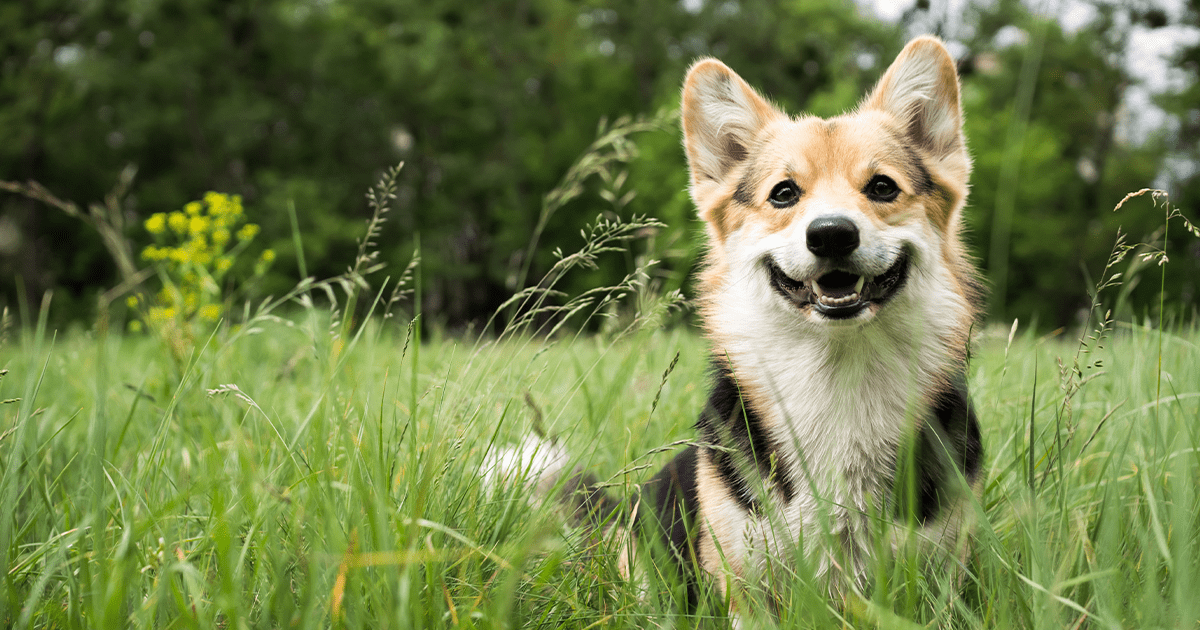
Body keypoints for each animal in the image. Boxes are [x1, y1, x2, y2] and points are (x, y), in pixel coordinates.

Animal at [487, 36, 984, 612]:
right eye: (784, 193)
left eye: (882, 187)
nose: (832, 234)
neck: (838, 370)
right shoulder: (747, 589)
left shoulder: (939, 581)